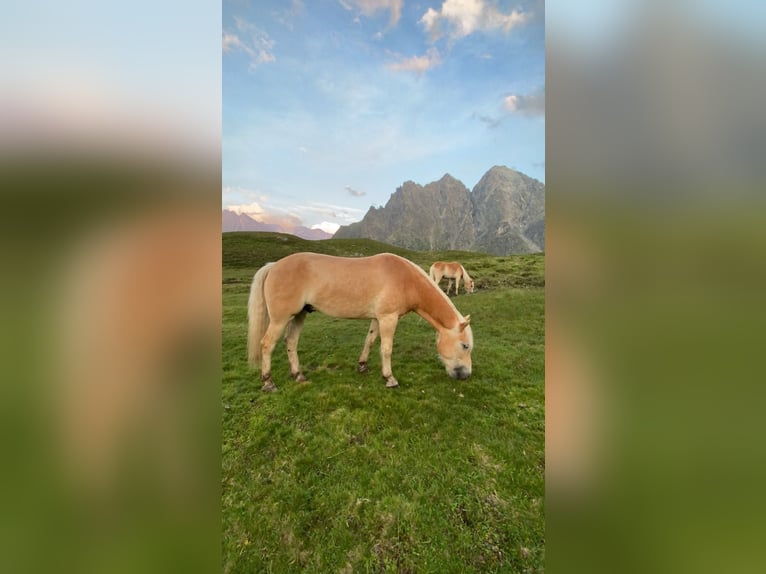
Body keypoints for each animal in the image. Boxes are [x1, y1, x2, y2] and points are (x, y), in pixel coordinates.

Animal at [248, 254, 474, 394]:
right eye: (465, 346)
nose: (466, 375)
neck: (405, 280)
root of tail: (274, 266)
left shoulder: (377, 318)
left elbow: (370, 340)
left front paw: (362, 366)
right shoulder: (388, 318)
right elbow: (386, 349)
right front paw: (389, 378)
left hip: (298, 316)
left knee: (291, 342)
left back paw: (298, 375)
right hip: (280, 319)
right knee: (267, 344)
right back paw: (268, 382)